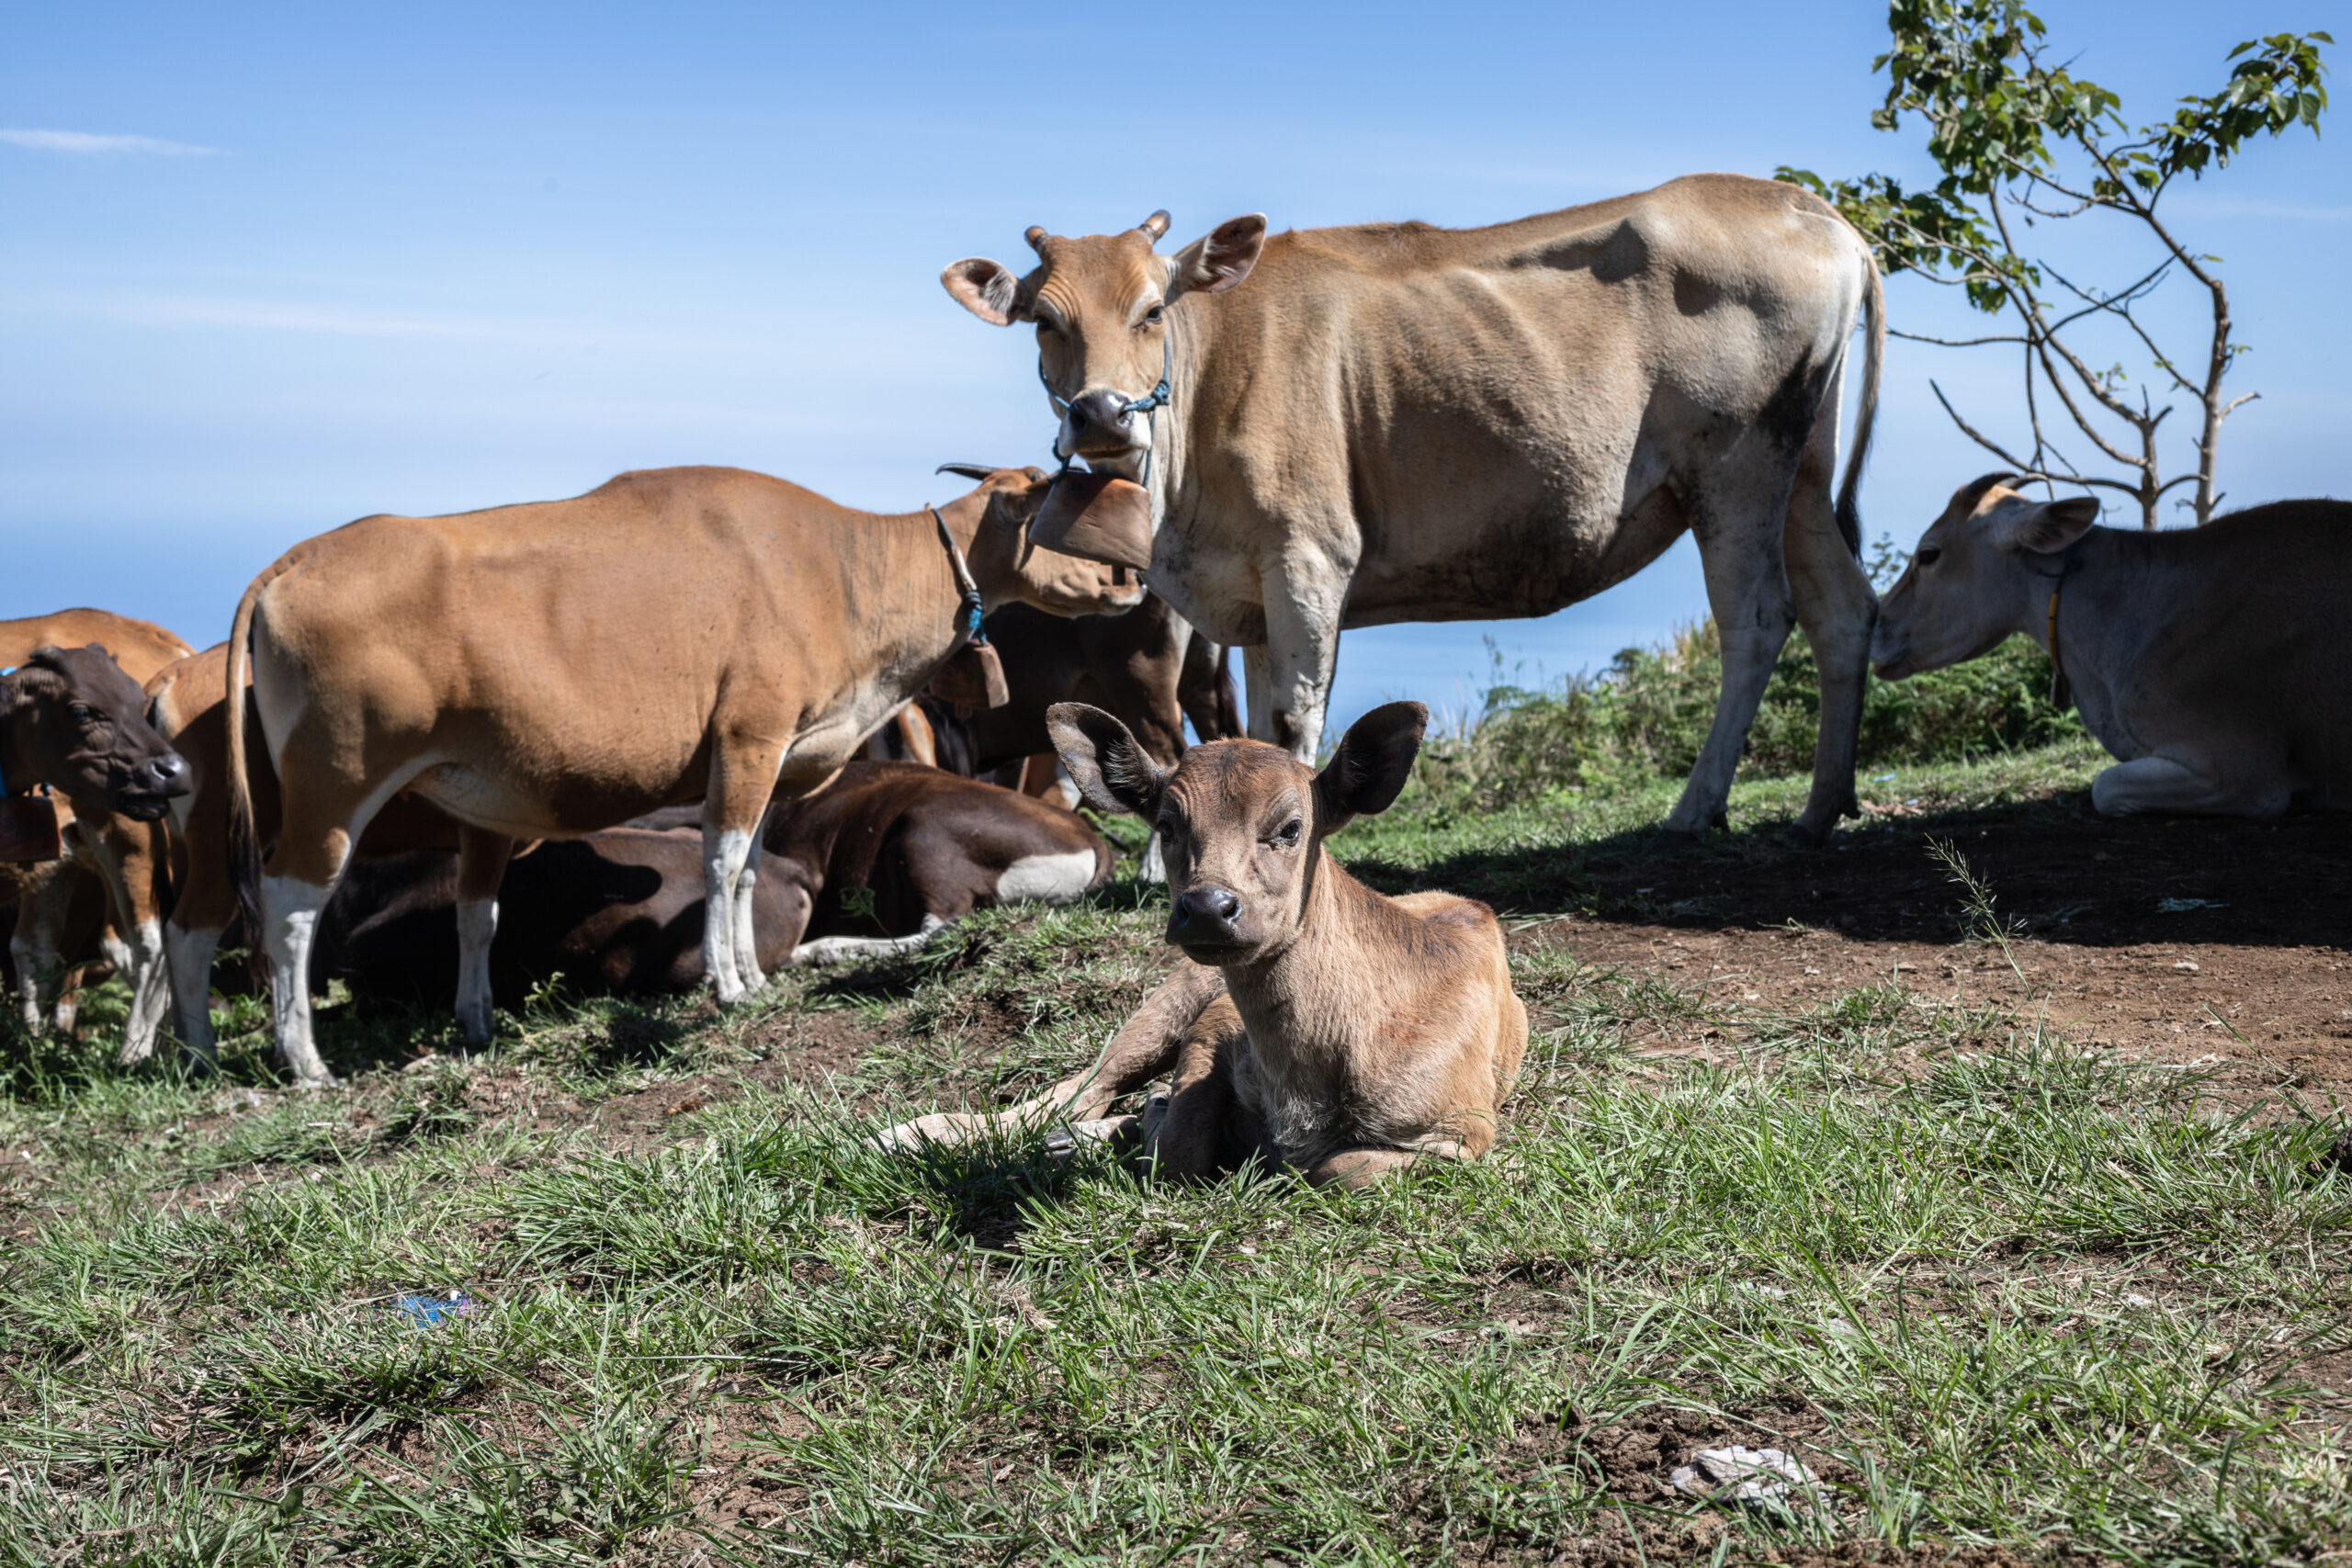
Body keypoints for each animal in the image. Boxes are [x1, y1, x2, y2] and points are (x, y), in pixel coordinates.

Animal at [884, 700, 1523, 1189]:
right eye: (1166, 826)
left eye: (1291, 828)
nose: (1208, 909)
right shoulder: (1214, 1021)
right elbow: (1182, 1148)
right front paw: (1155, 1122)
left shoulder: (1463, 1132)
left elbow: (1341, 1167)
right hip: (1170, 999)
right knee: (1074, 1092)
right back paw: (912, 1132)